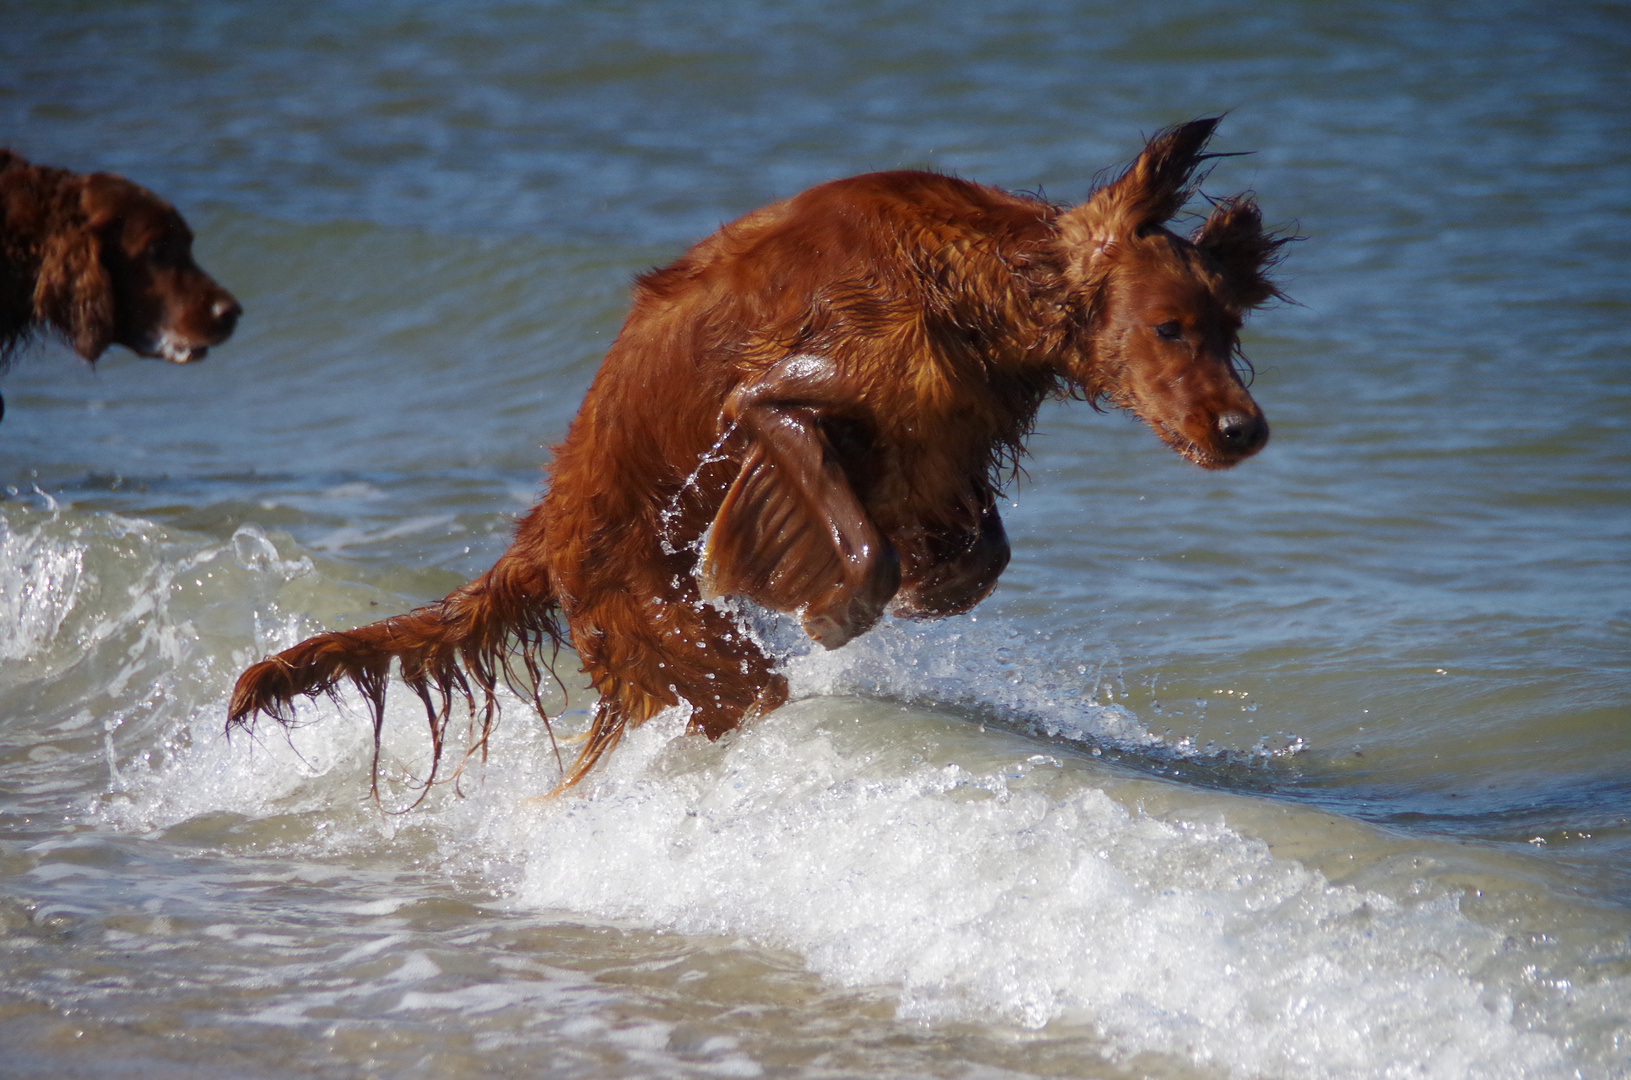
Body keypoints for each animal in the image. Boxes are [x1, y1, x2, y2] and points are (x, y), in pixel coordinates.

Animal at [226, 120, 1285, 796]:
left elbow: (973, 552)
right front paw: (835, 607)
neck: (966, 277)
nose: (1246, 431)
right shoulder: (778, 394)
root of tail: (548, 525)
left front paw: (927, 586)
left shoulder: (944, 442)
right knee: (729, 694)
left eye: (1228, 328)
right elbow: (854, 530)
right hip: (665, 629)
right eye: (1168, 327)